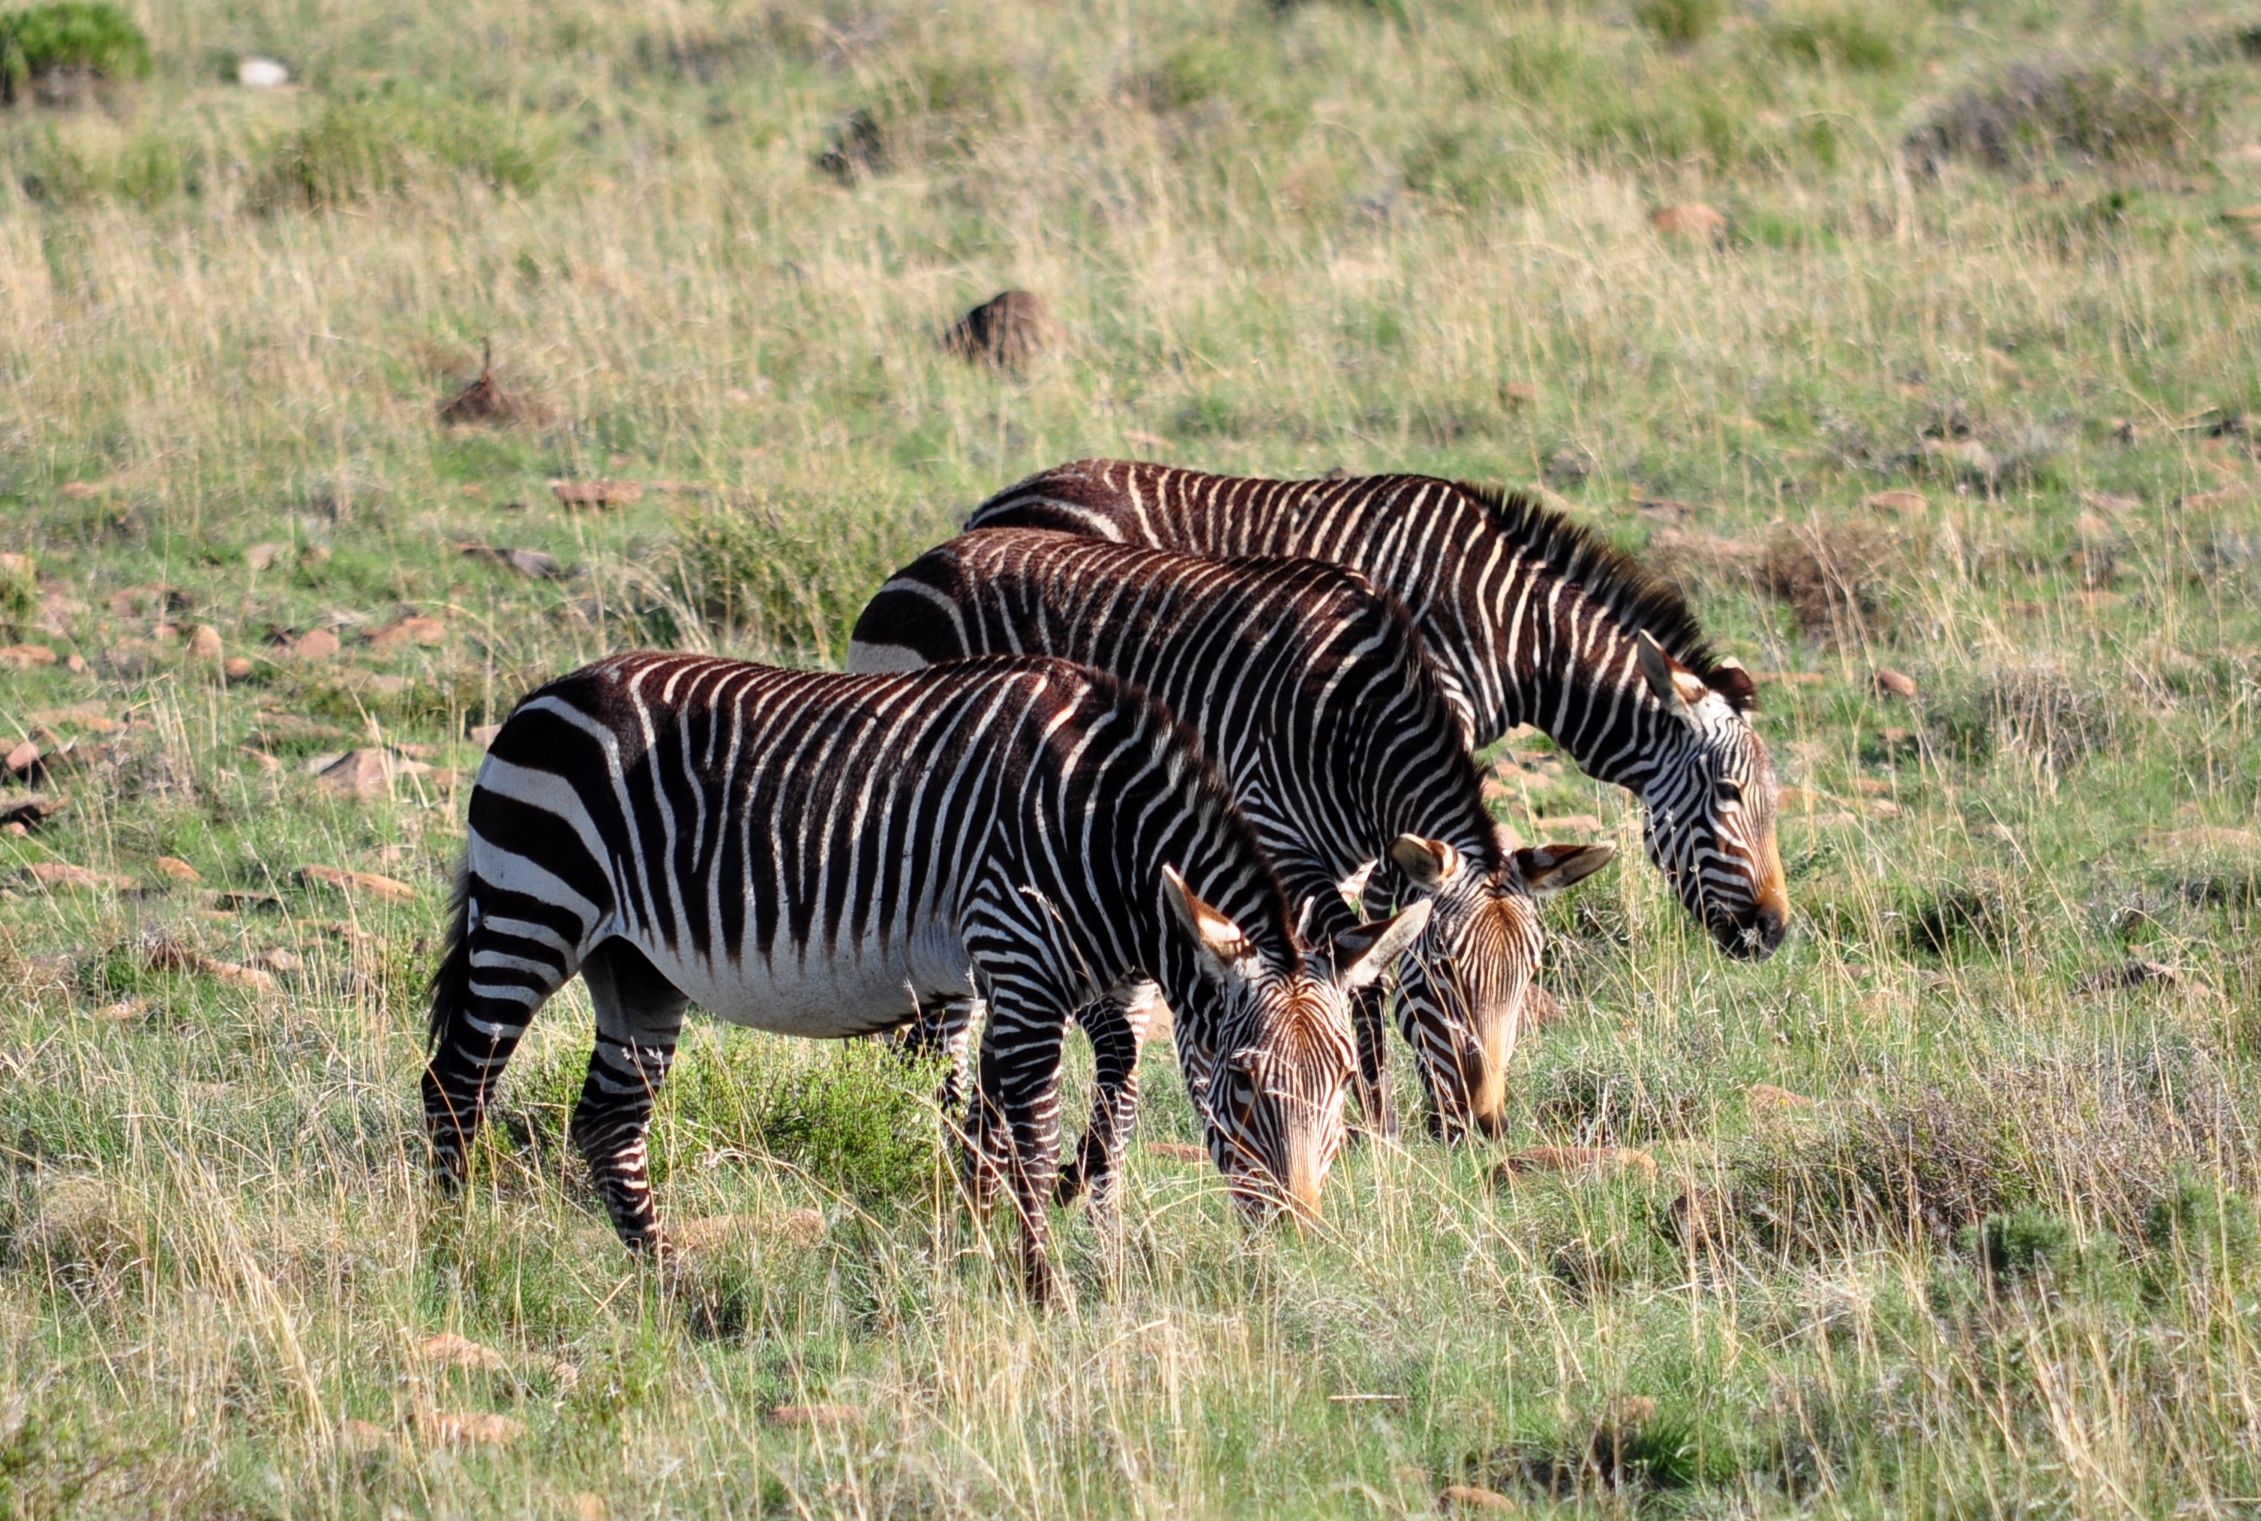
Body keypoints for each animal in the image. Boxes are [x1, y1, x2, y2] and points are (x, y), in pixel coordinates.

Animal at [419, 651, 1428, 1298]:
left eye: (1343, 1081)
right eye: (1244, 1082)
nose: (1298, 1233)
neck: (1108, 837)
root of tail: (540, 695)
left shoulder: (1096, 986)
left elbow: (1085, 1120)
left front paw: (1061, 1257)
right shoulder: (1017, 961)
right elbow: (1027, 1137)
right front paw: (1042, 1287)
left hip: (635, 964)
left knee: (606, 1122)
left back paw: (676, 1285)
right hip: (533, 909)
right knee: (455, 1086)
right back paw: (451, 1252)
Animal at [847, 528, 1614, 1194]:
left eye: (1531, 974)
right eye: (1444, 971)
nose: (1483, 1124)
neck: (1353, 721)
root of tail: (925, 560)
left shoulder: (1349, 862)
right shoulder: (1273, 828)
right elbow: (1350, 972)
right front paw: (1370, 1124)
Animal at [967, 461, 1789, 959]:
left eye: (1774, 803)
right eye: (1729, 794)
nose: (1774, 932)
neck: (1512, 626)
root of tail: (993, 502)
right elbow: (1401, 893)